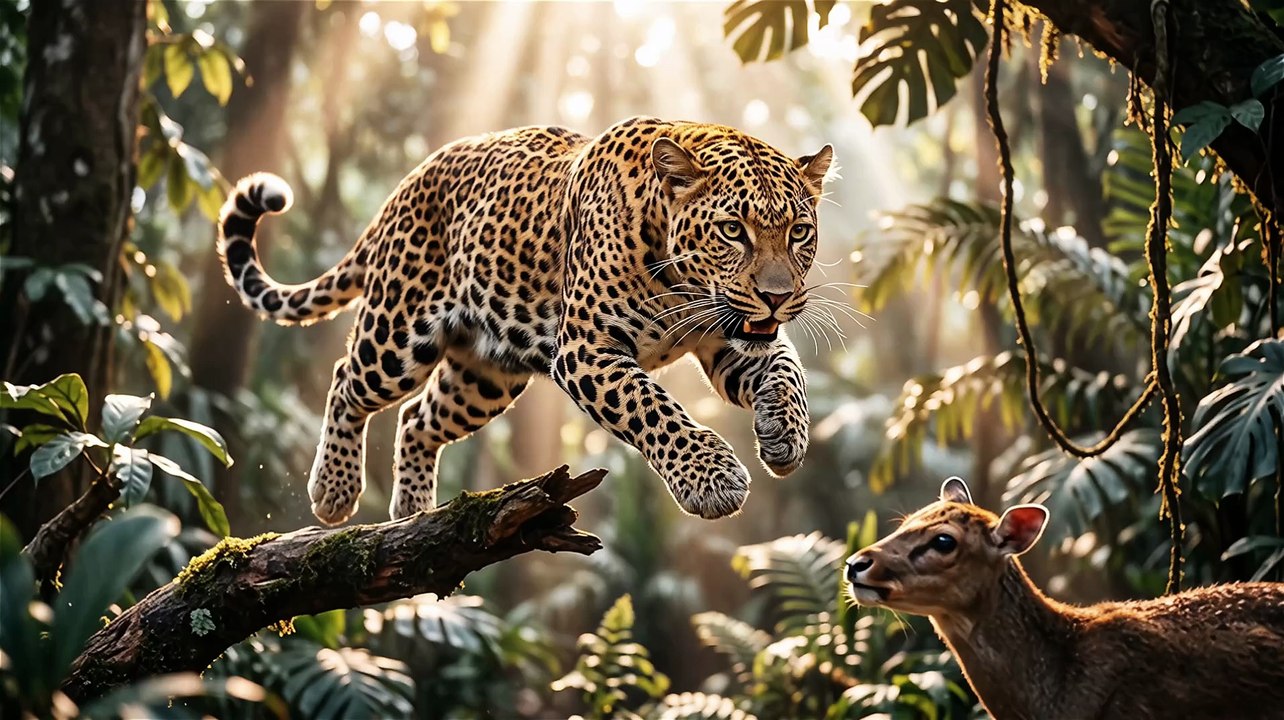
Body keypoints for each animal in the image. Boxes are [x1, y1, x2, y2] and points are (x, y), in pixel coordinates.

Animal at [216, 116, 834, 525]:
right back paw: (335, 490)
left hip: (485, 377)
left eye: (800, 232)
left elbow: (787, 372)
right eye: (733, 230)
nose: (777, 297)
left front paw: (784, 436)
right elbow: (652, 409)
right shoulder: (586, 347)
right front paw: (713, 478)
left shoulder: (731, 339)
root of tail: (408, 182)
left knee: (416, 419)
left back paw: (413, 514)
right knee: (348, 379)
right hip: (397, 336)